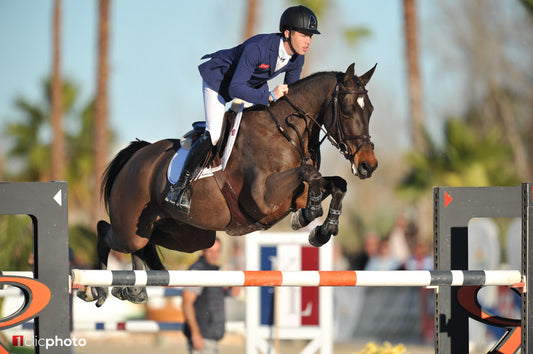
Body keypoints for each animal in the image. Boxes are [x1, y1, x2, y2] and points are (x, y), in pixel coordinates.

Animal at [78, 62, 378, 306]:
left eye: (371, 111)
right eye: (348, 111)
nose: (368, 165)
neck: (287, 132)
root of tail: (136, 155)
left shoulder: (291, 196)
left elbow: (337, 184)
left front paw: (321, 228)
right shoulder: (262, 199)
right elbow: (310, 174)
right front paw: (312, 214)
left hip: (188, 235)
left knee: (146, 241)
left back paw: (133, 290)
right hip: (130, 226)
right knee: (105, 231)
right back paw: (95, 290)